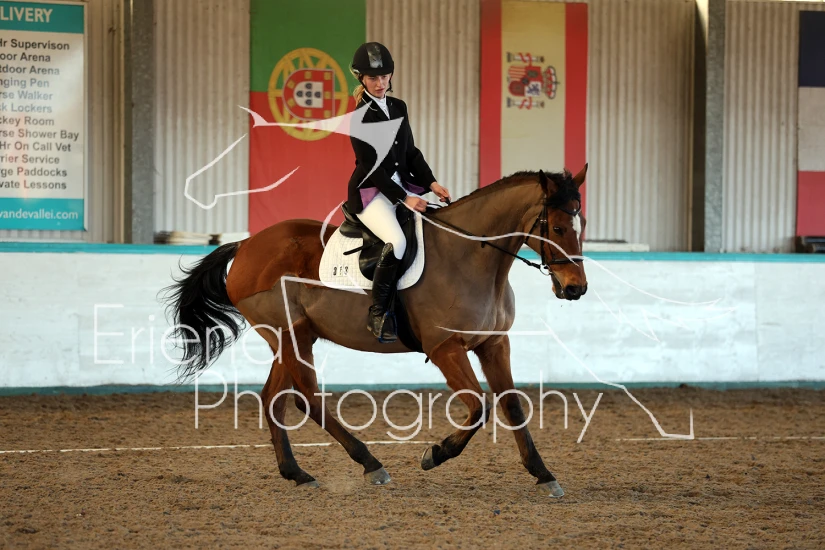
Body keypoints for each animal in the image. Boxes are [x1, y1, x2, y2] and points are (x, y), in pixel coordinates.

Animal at [162, 164, 588, 497]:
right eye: (558, 227)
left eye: (582, 225)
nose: (575, 289)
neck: (471, 258)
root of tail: (247, 245)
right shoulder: (445, 348)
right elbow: (480, 406)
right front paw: (434, 454)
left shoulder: (494, 344)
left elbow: (512, 405)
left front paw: (543, 474)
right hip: (290, 336)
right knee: (306, 398)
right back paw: (370, 463)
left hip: (291, 338)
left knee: (274, 399)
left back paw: (297, 473)